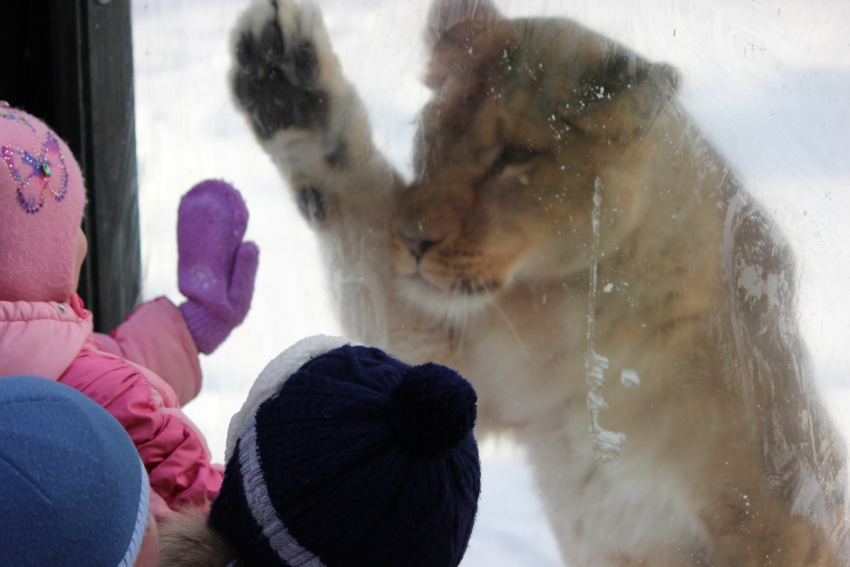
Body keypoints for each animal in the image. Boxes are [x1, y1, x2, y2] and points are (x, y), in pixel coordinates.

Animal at [224, 0, 840, 564]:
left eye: (515, 156)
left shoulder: (775, 514)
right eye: (430, 134)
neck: (580, 306)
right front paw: (281, 76)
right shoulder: (481, 368)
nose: (414, 241)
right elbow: (356, 212)